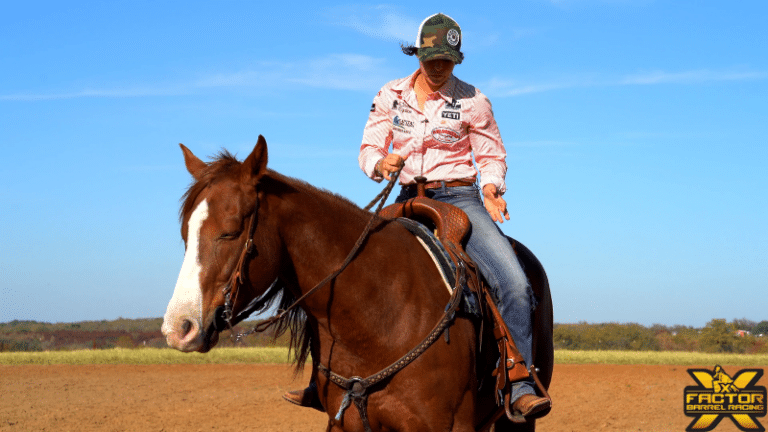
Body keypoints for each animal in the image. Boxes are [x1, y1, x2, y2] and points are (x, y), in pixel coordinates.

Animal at [161, 136, 553, 432]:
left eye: (230, 231)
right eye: (184, 233)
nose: (179, 328)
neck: (375, 318)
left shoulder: (448, 424)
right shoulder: (346, 423)